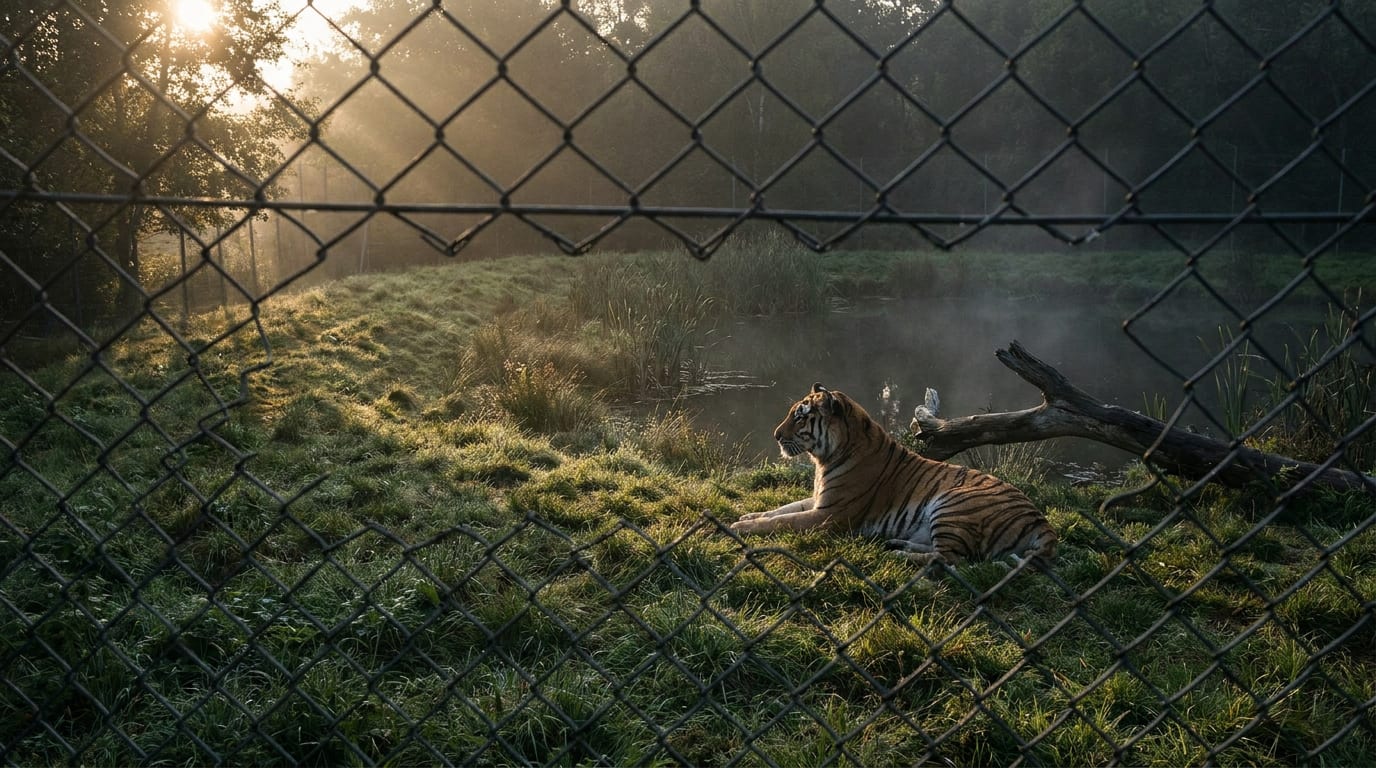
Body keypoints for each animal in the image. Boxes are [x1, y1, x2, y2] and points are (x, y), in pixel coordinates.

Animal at [731, 383, 1057, 569]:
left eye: (800, 417)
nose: (775, 436)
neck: (827, 458)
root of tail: (1041, 520)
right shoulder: (818, 500)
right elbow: (780, 510)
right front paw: (748, 516)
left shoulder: (828, 515)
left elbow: (782, 521)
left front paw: (739, 527)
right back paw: (896, 544)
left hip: (953, 503)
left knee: (951, 559)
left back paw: (897, 555)